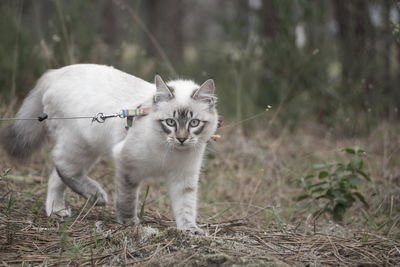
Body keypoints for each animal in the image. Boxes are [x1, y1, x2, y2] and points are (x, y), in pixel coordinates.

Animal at [0, 64, 219, 234]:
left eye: (194, 123)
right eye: (171, 122)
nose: (181, 139)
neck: (171, 151)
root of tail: (55, 72)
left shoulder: (183, 177)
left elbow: (186, 207)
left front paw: (190, 230)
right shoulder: (128, 163)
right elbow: (127, 199)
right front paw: (130, 224)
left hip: (85, 150)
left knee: (56, 176)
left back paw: (57, 210)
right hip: (81, 145)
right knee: (61, 165)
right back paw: (96, 195)